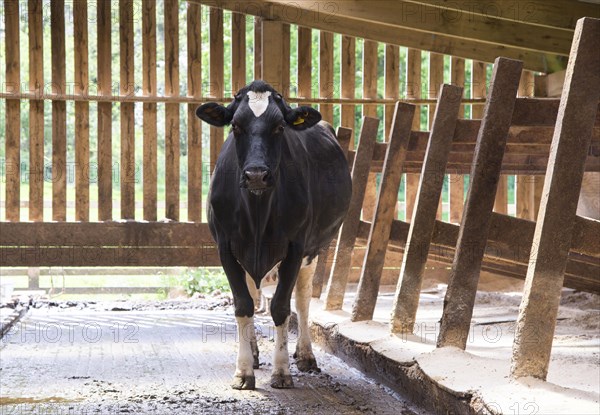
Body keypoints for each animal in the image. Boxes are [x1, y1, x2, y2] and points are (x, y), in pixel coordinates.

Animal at [195, 80, 354, 390]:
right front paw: (244, 370)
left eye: (280, 126)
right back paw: (255, 352)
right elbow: (243, 304)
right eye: (236, 126)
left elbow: (282, 308)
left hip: (313, 250)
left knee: (302, 298)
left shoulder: (295, 247)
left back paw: (305, 355)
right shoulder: (226, 247)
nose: (256, 174)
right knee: (253, 292)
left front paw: (281, 371)